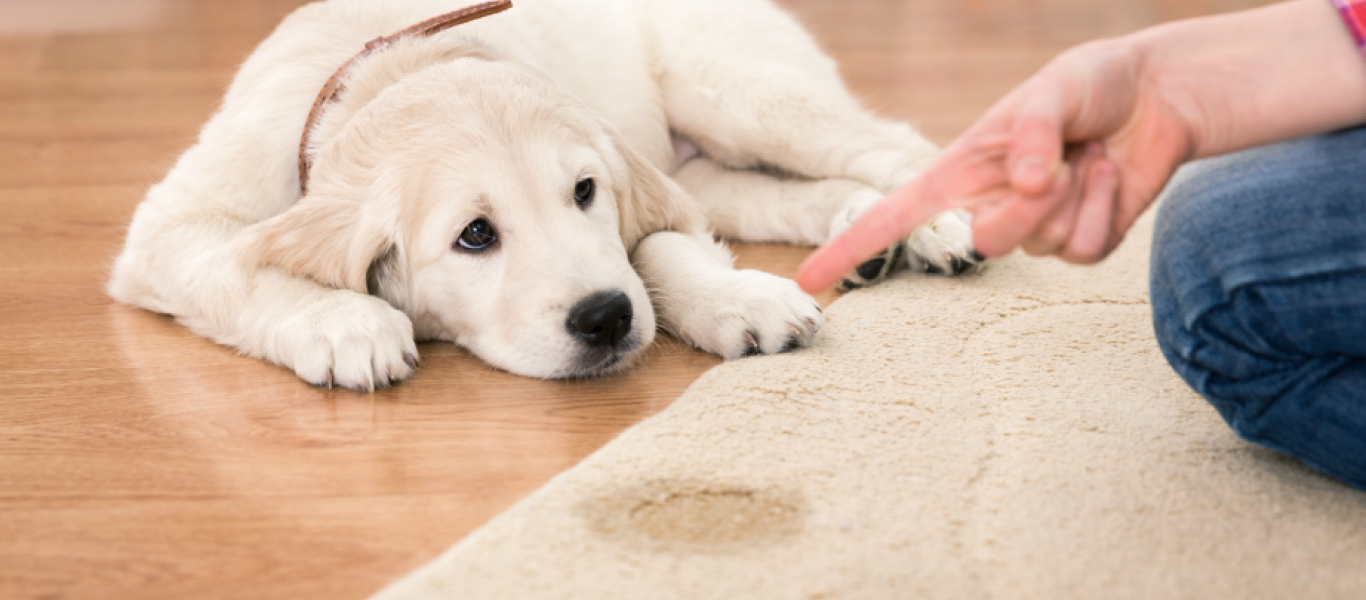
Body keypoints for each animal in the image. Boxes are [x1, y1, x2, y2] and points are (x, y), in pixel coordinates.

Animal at [108, 0, 979, 390]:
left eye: (585, 191)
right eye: (475, 235)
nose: (606, 319)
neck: (390, 66)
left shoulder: (641, 186)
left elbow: (659, 251)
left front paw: (739, 300)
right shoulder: (168, 228)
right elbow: (235, 266)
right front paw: (344, 322)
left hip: (734, 89)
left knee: (892, 144)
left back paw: (937, 224)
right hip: (708, 154)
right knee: (780, 191)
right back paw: (864, 230)